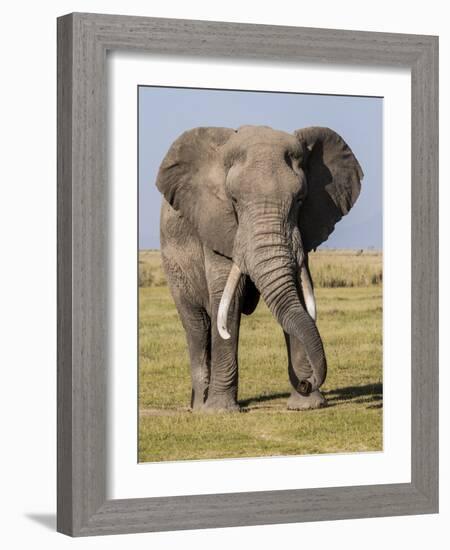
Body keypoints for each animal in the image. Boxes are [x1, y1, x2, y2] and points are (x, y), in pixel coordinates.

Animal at [155, 123, 362, 412]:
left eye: (300, 200)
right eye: (233, 201)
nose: (306, 382)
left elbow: (297, 294)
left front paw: (306, 406)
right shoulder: (217, 225)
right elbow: (227, 303)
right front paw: (220, 412)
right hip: (172, 263)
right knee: (197, 325)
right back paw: (200, 407)